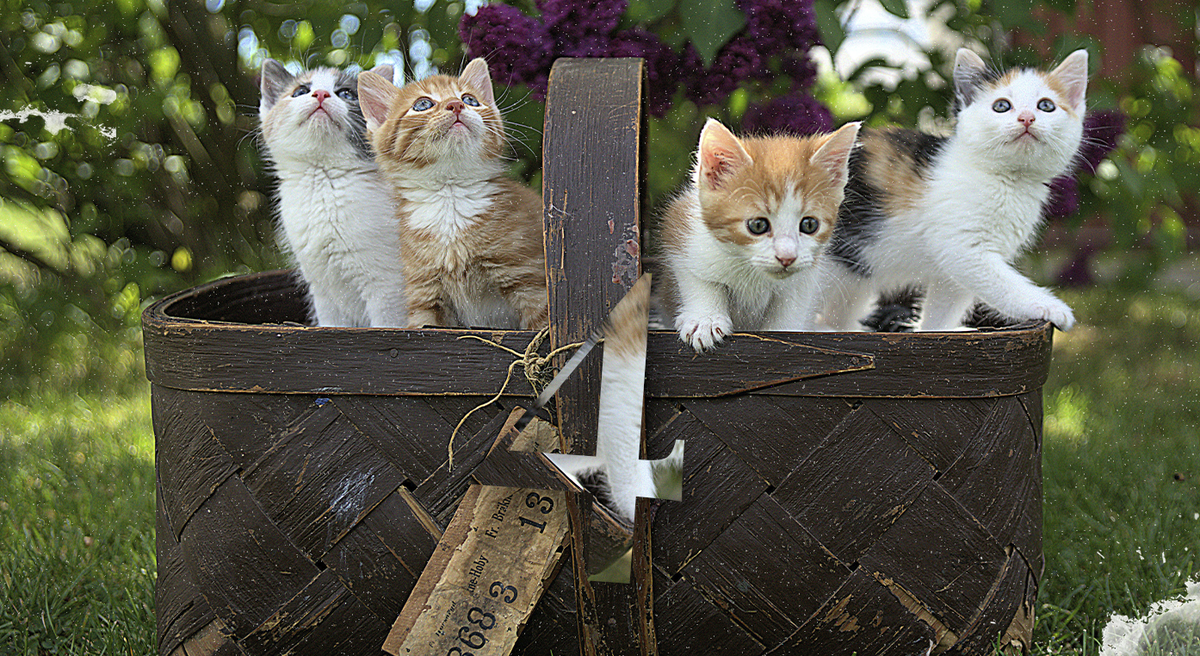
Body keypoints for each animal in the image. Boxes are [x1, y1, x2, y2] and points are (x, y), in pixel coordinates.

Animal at [258, 58, 408, 328]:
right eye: (300, 91)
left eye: (346, 93)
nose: (320, 93)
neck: (324, 181)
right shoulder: (324, 292)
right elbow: (332, 326)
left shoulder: (388, 287)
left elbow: (387, 326)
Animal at [352, 59, 547, 330]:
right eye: (423, 104)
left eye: (470, 99)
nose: (456, 104)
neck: (450, 195)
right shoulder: (424, 295)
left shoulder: (529, 280)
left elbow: (543, 329)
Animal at [657, 118, 864, 354]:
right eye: (757, 225)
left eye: (809, 224)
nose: (787, 257)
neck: (752, 273)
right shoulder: (681, 228)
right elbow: (698, 278)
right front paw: (705, 319)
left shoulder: (807, 275)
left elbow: (792, 306)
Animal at [816, 48, 1089, 330]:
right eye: (1001, 106)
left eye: (1046, 106)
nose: (1027, 118)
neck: (1007, 179)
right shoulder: (962, 248)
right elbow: (1004, 284)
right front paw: (1049, 306)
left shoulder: (952, 274)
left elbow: (943, 310)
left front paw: (935, 331)